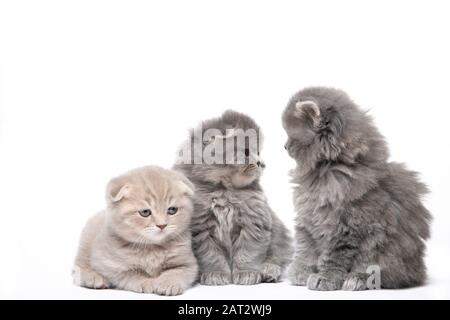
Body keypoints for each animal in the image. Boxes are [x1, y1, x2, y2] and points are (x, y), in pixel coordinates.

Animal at [72, 166, 199, 296]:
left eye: (172, 210)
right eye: (145, 212)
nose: (162, 225)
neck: (152, 249)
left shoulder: (188, 264)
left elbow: (176, 272)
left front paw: (168, 283)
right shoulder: (110, 264)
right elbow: (131, 274)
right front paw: (146, 282)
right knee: (78, 268)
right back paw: (93, 278)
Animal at [174, 109, 294, 284]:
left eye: (259, 152)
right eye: (246, 151)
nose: (262, 164)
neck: (225, 190)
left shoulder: (253, 223)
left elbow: (247, 254)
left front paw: (247, 274)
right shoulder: (201, 229)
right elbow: (212, 256)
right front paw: (216, 274)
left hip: (279, 235)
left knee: (278, 256)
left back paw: (268, 271)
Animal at [282, 87, 432, 290]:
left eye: (292, 135)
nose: (284, 146)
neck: (327, 169)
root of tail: (418, 269)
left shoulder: (346, 226)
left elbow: (335, 256)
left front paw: (325, 278)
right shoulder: (308, 218)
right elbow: (306, 246)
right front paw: (301, 271)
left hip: (384, 250)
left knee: (377, 269)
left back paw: (356, 279)